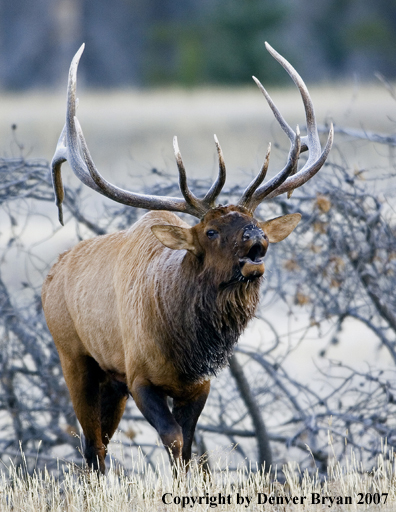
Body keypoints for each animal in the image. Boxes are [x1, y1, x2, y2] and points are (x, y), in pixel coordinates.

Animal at [41, 42, 332, 474]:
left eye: (254, 220)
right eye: (210, 231)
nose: (258, 239)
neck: (185, 347)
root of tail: (51, 276)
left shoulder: (198, 385)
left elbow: (191, 448)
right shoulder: (139, 376)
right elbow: (175, 440)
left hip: (111, 381)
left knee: (101, 443)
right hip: (74, 358)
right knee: (91, 446)